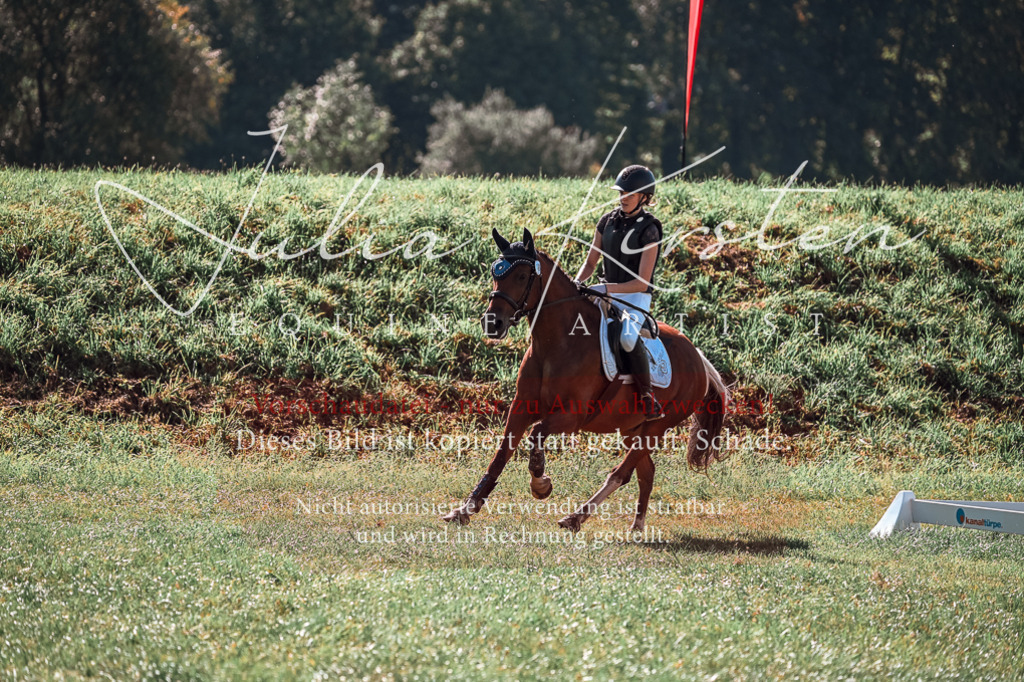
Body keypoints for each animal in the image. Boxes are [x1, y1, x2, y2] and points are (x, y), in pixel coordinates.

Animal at [442, 227, 730, 533]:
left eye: (521, 276)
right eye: (495, 273)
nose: (492, 323)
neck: (556, 344)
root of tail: (698, 357)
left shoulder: (572, 416)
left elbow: (537, 433)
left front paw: (540, 484)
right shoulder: (521, 408)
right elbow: (500, 456)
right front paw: (465, 509)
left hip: (656, 427)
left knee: (621, 473)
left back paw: (576, 517)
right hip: (631, 428)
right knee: (646, 472)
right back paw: (636, 527)